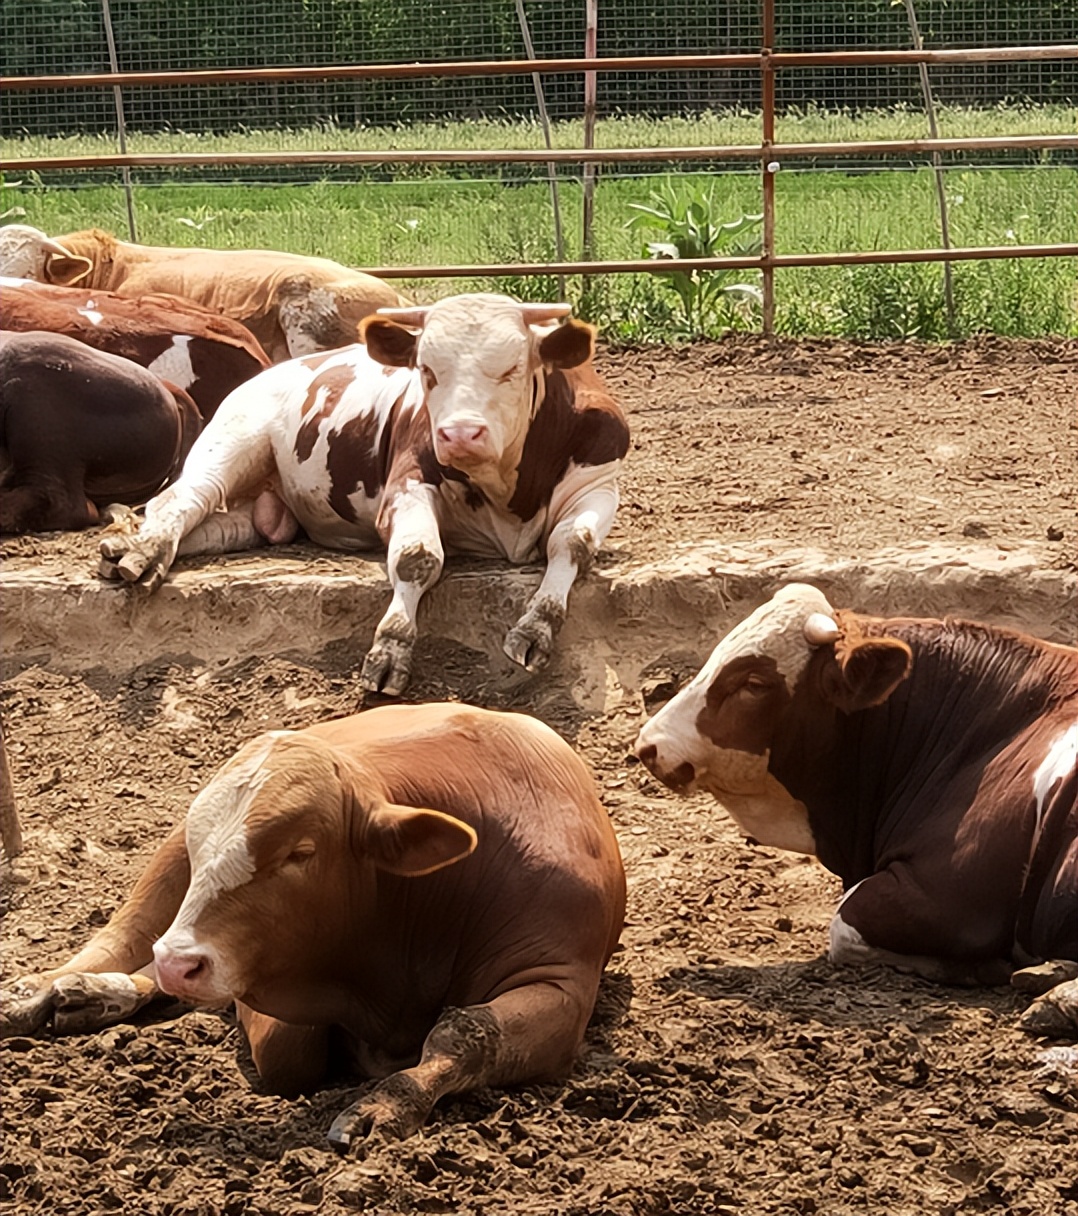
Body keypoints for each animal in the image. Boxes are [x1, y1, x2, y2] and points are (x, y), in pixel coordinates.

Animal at [0, 705, 622, 1147]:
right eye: (204, 848)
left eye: (301, 853)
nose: (182, 961)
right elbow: (288, 1052)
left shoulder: (562, 982)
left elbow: (465, 1032)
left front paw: (382, 1106)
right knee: (126, 936)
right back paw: (50, 991)